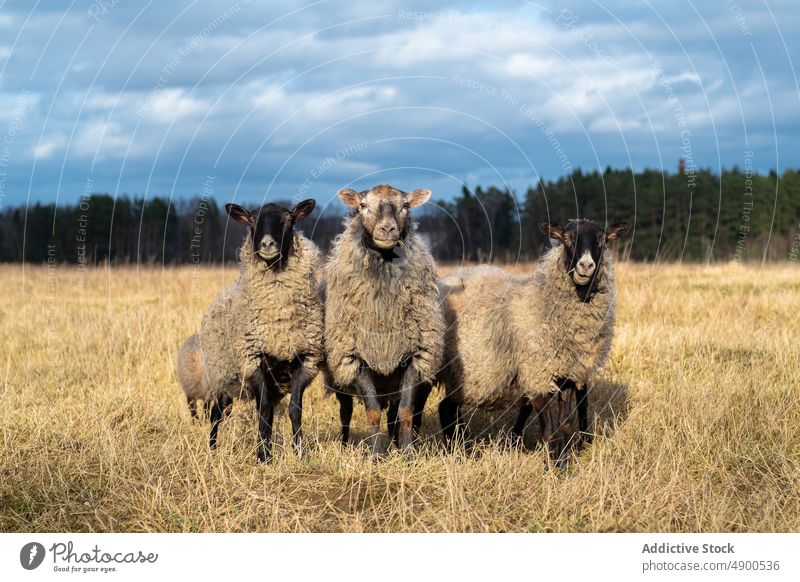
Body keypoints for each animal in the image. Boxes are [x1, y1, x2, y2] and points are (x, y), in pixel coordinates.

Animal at [192, 201, 324, 466]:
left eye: (289, 219)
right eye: (252, 221)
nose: (267, 244)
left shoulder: (306, 360)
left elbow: (294, 409)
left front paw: (300, 452)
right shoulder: (251, 362)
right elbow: (263, 409)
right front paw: (263, 455)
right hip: (221, 376)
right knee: (217, 413)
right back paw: (212, 448)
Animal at [324, 184, 450, 456]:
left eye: (405, 206)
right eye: (363, 205)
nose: (387, 229)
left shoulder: (415, 354)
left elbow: (405, 411)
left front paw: (408, 453)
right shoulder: (356, 356)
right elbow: (372, 412)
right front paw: (376, 455)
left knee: (393, 412)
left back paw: (395, 443)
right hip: (341, 374)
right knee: (346, 412)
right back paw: (345, 443)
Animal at [438, 218, 632, 466]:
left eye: (602, 239)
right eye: (566, 238)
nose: (586, 266)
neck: (544, 300)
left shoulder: (567, 375)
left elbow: (564, 425)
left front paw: (563, 462)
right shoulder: (537, 375)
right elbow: (548, 430)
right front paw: (551, 468)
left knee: (446, 408)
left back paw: (460, 449)